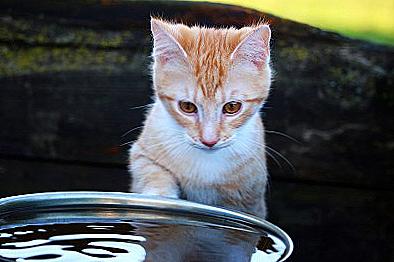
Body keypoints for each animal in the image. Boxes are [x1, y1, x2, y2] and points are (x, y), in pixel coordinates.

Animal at [129, 18, 270, 218]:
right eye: (187, 107)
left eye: (232, 107)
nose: (209, 141)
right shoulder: (143, 152)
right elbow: (151, 172)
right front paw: (161, 198)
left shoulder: (252, 199)